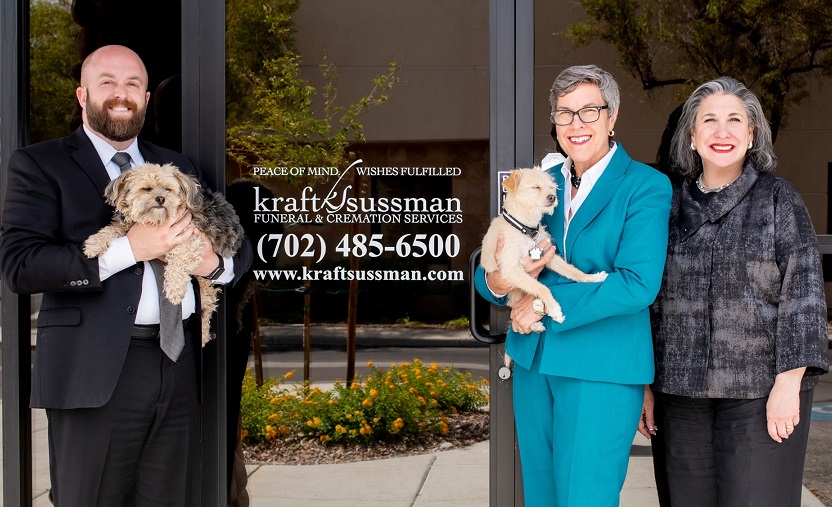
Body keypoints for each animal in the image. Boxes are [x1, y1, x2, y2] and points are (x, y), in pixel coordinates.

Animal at [480, 168, 604, 334]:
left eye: (551, 188)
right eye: (536, 187)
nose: (552, 197)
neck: (526, 229)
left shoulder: (549, 255)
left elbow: (572, 270)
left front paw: (591, 277)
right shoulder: (511, 269)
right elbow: (542, 287)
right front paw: (554, 309)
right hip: (514, 290)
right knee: (515, 306)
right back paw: (534, 324)